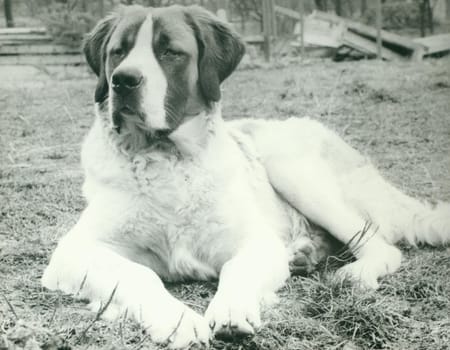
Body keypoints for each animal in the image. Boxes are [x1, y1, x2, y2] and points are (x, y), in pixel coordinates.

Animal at [41, 4, 450, 348]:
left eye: (170, 52)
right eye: (118, 52)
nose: (123, 80)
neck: (168, 157)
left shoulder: (256, 242)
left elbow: (237, 269)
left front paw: (231, 310)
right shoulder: (75, 251)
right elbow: (139, 275)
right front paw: (177, 320)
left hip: (288, 165)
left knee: (381, 245)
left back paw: (354, 273)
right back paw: (304, 253)